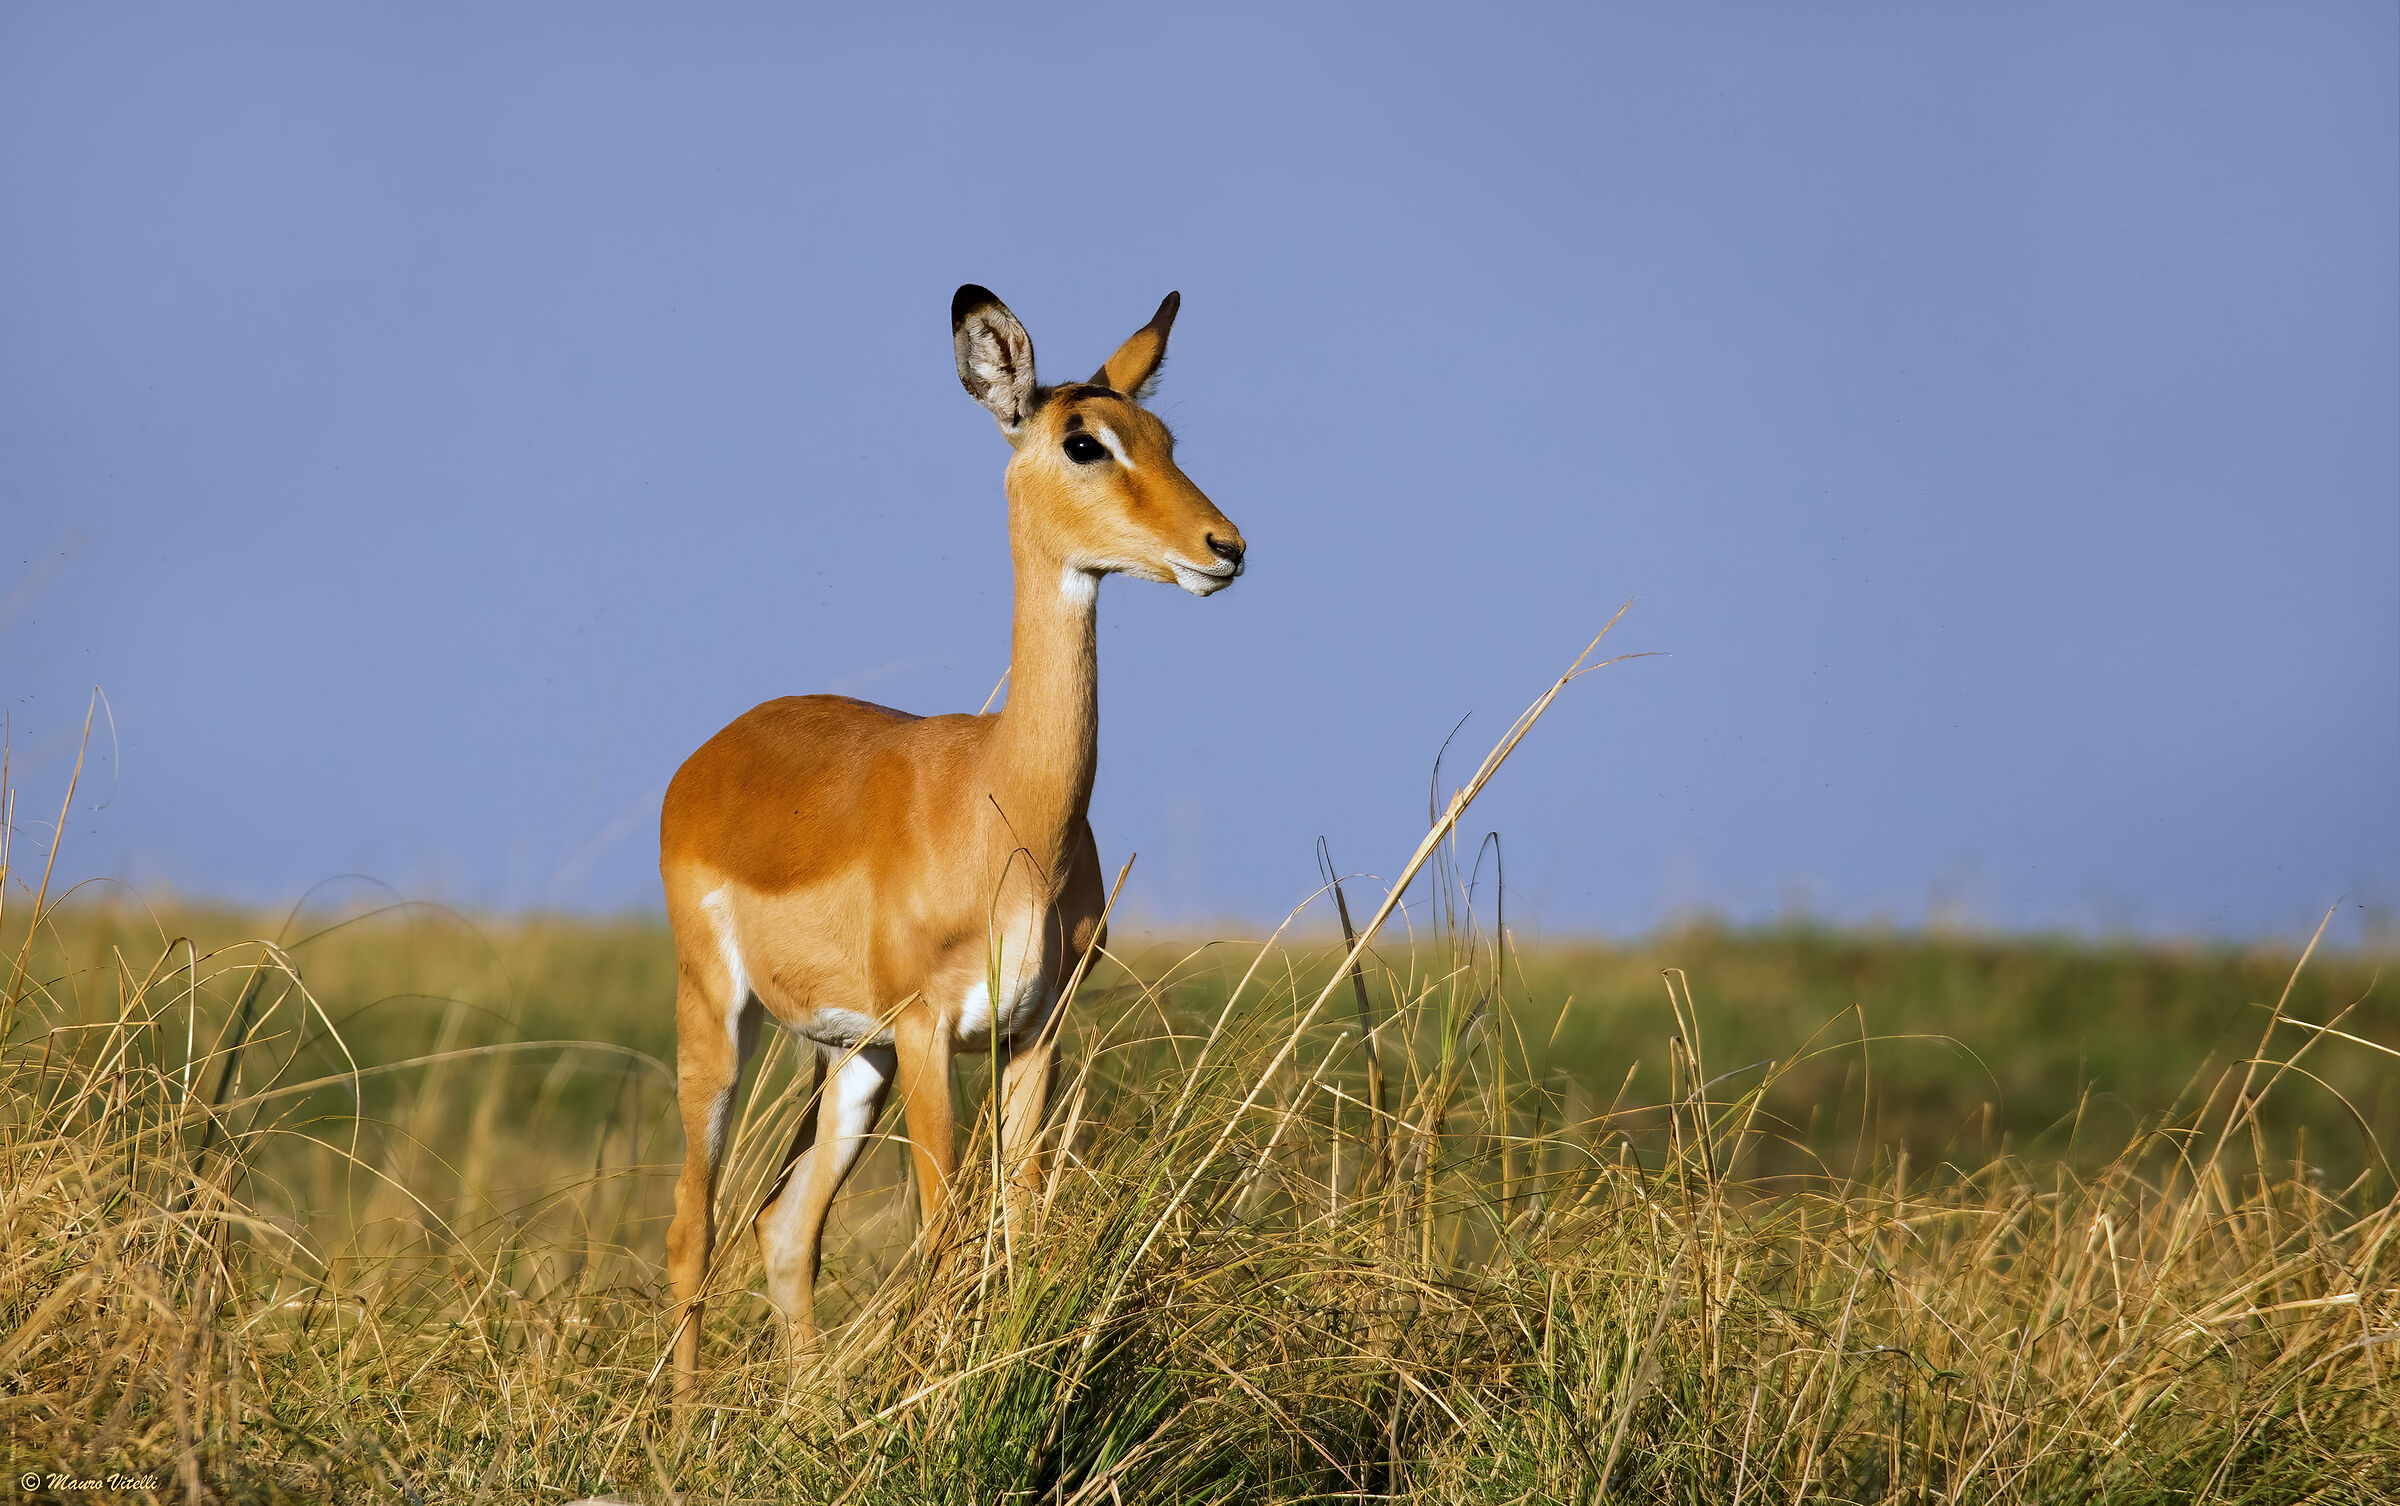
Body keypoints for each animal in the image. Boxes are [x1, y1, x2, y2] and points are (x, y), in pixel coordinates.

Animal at [658, 285, 1244, 1403]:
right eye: (1082, 440)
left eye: (1165, 437)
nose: (1225, 545)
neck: (1003, 806)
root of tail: (711, 755)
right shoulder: (932, 1032)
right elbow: (944, 1240)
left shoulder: (1033, 1034)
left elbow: (1017, 1230)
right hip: (727, 1022)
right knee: (690, 1235)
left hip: (853, 1059)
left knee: (784, 1228)